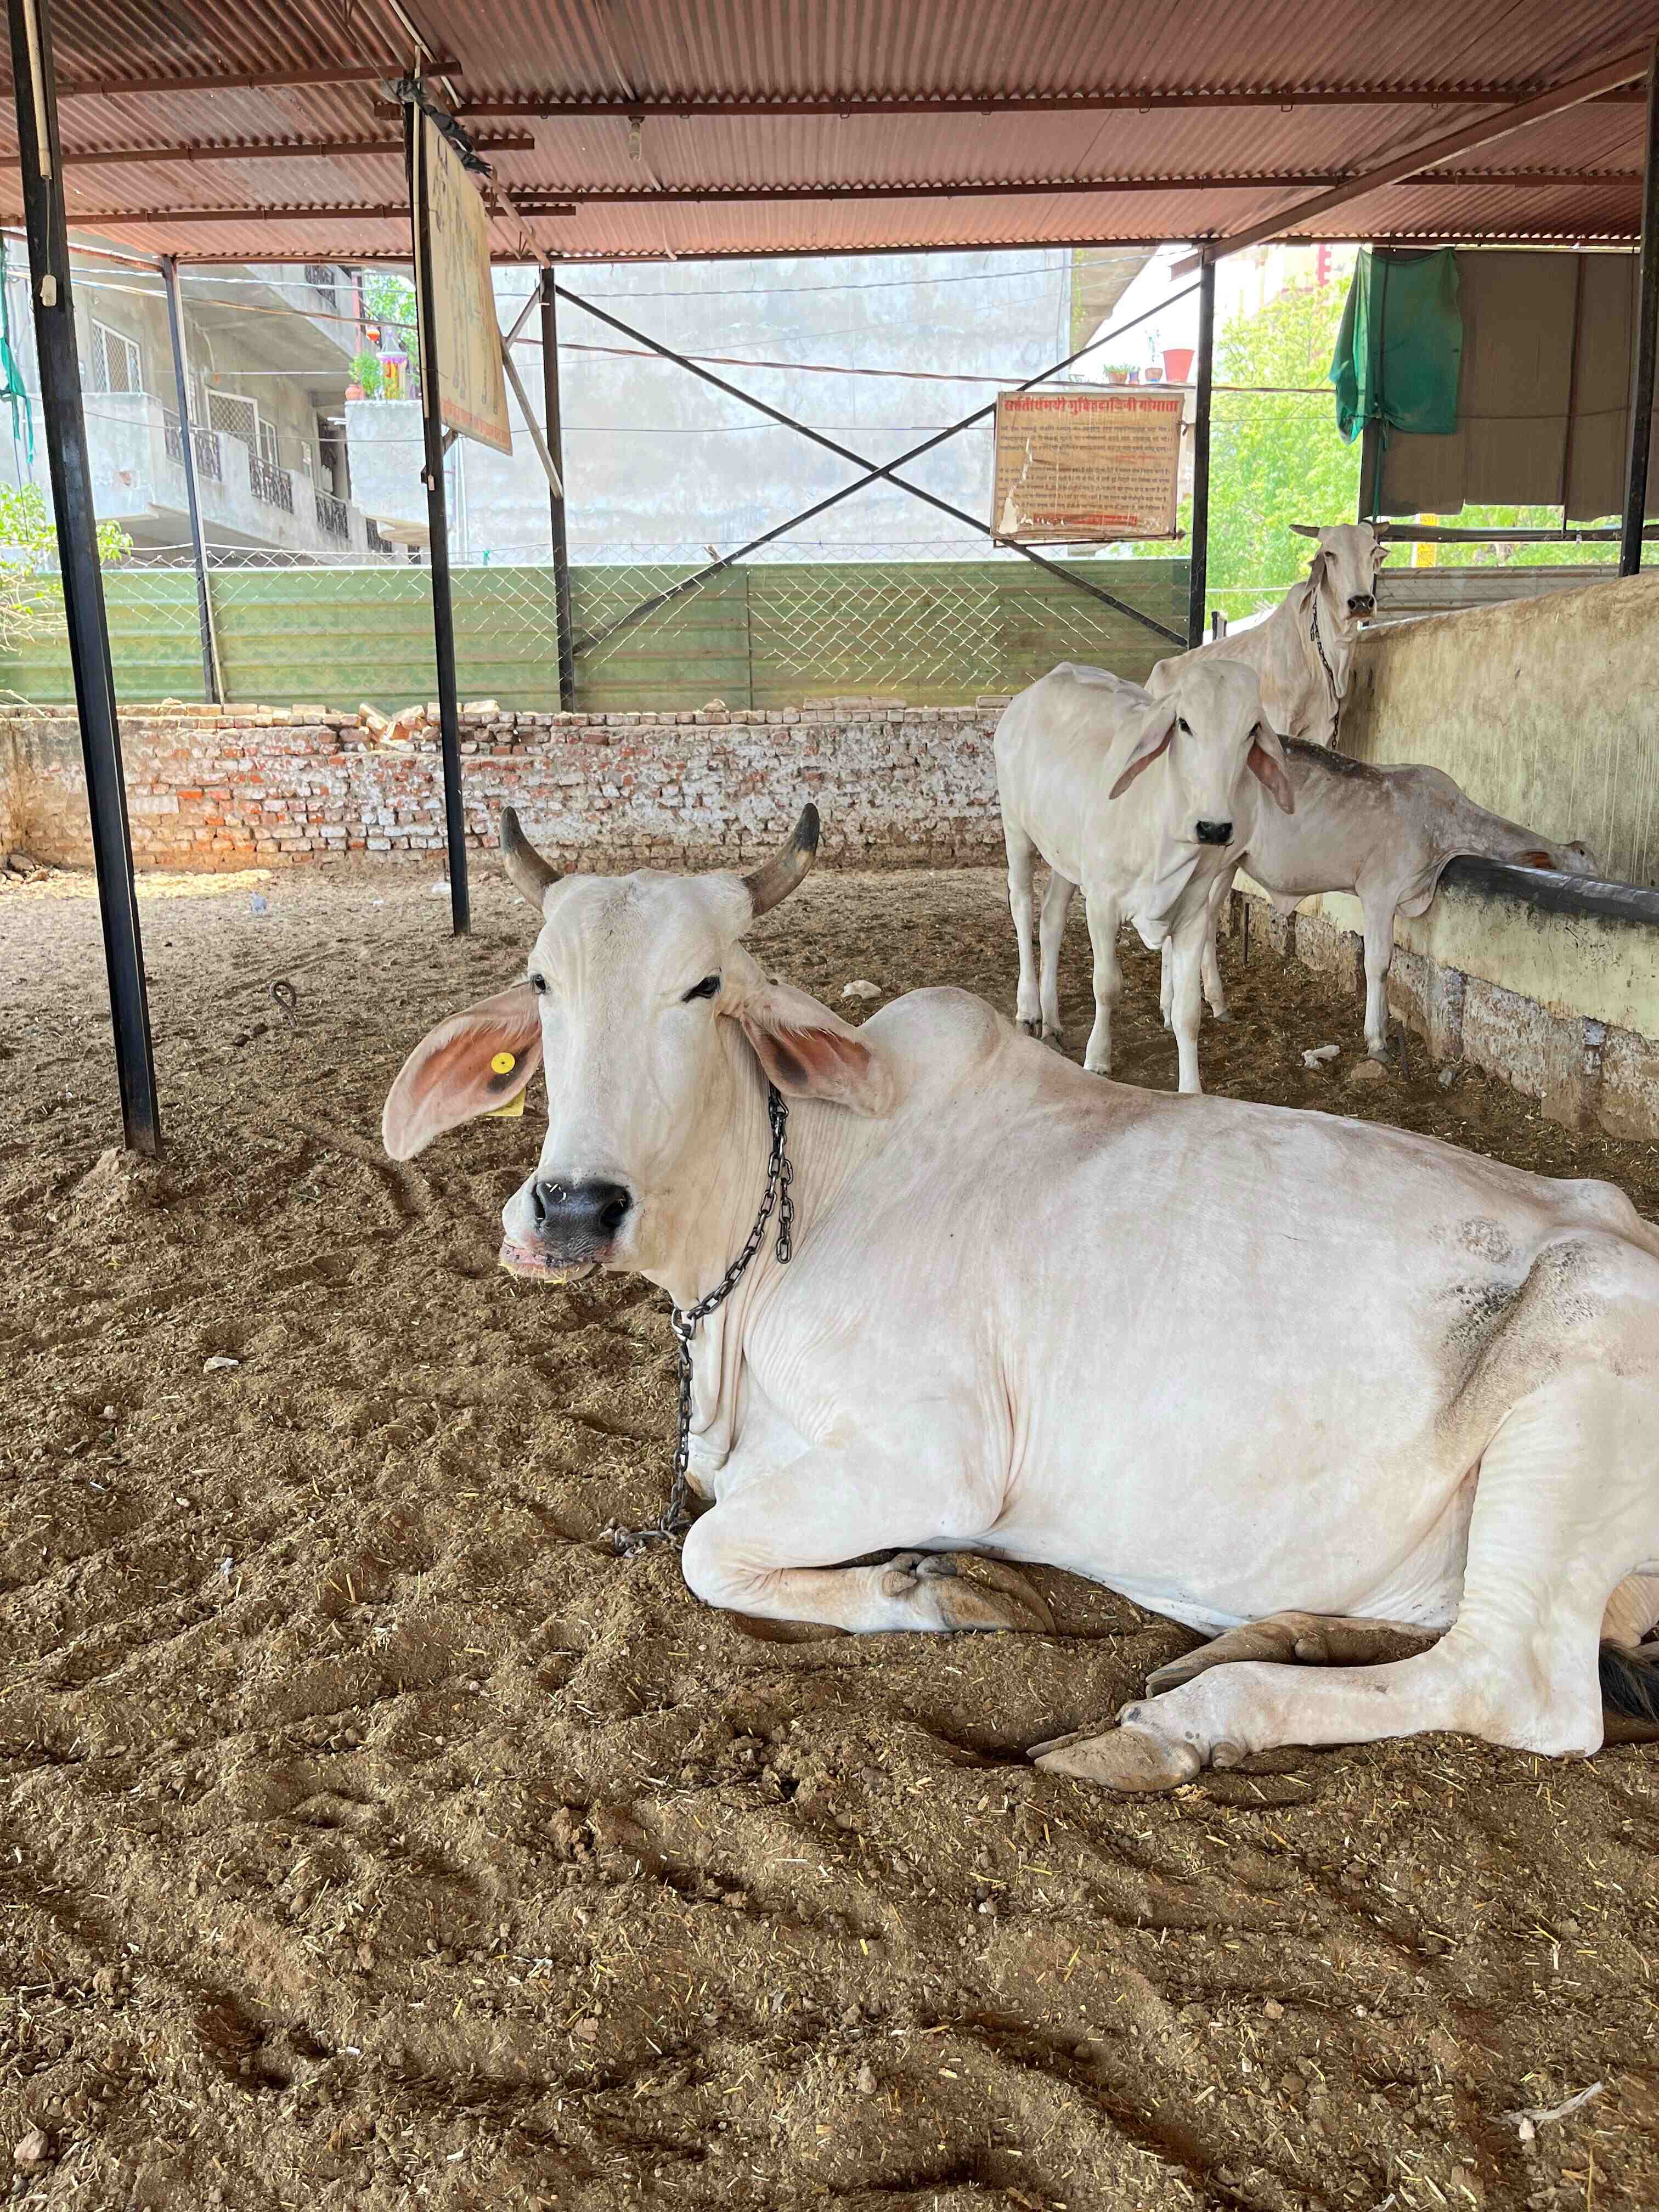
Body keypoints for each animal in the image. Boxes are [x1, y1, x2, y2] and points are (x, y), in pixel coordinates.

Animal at [381, 806, 1659, 1795]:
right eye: (542, 982)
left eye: (702, 988)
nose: (571, 1209)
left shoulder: (940, 1455)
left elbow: (706, 1552)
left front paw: (938, 1585)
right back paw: (1246, 1641)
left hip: (1568, 1396)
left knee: (1515, 1680)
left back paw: (1189, 1719)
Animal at [994, 659, 1294, 1094]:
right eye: (1184, 724)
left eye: (1253, 729)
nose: (1214, 828)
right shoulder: (1102, 904)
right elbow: (1107, 985)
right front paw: (1098, 1059)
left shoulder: (1193, 915)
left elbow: (1188, 1011)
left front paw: (1192, 1089)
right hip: (1016, 830)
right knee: (1021, 906)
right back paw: (1030, 1009)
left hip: (1067, 856)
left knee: (1051, 919)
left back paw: (1052, 1022)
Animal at [1158, 743, 1600, 1058]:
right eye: (1586, 870)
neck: (1445, 831)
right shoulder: (1379, 893)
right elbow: (1379, 964)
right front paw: (1377, 1039)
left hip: (1224, 864)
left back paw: (1189, 1006)